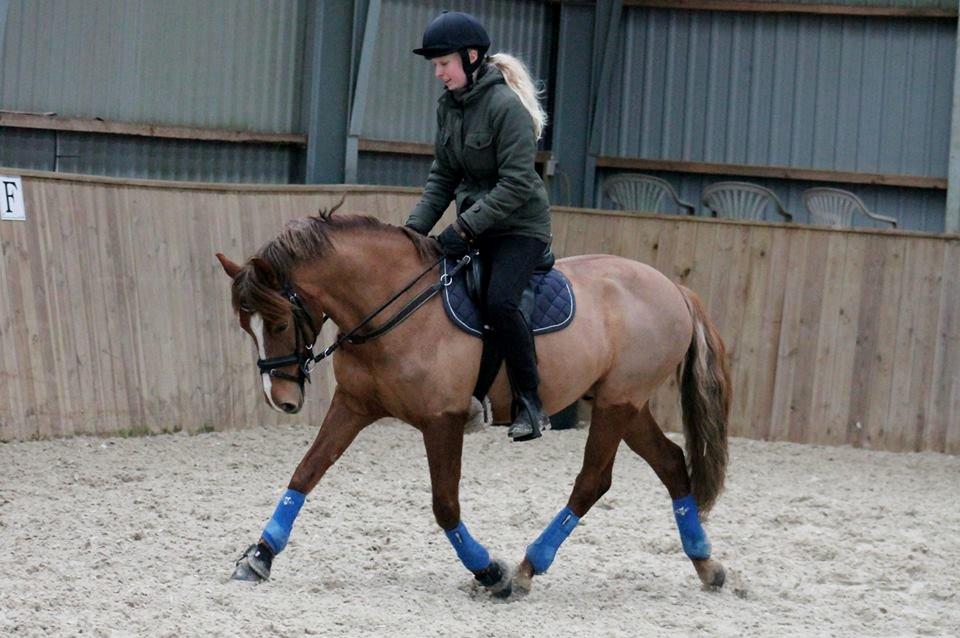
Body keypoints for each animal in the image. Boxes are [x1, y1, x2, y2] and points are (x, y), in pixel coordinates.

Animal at [215, 207, 730, 598]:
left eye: (279, 322)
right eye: (245, 325)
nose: (281, 400)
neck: (394, 311)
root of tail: (674, 288)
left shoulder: (442, 420)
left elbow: (445, 505)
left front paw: (489, 571)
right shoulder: (354, 405)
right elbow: (306, 472)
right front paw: (259, 556)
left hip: (617, 405)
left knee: (593, 482)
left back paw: (525, 569)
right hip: (627, 403)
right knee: (671, 463)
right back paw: (706, 564)